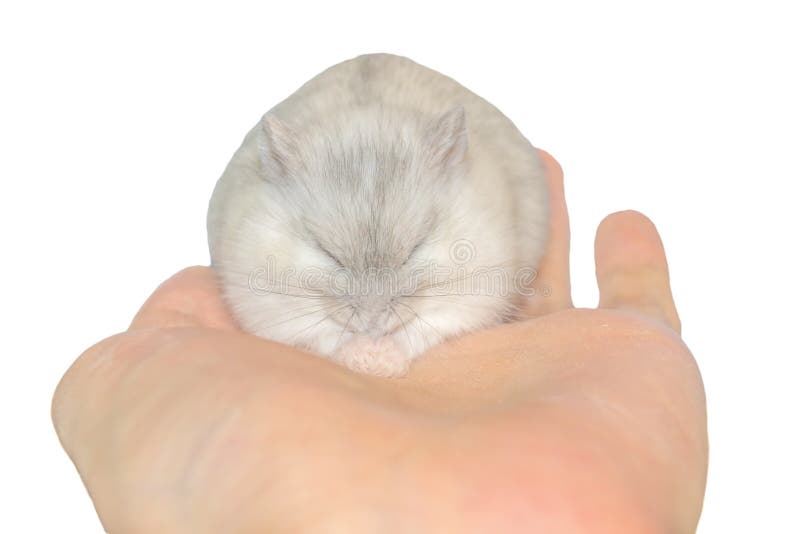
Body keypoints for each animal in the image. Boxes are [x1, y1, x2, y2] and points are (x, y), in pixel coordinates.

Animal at [207, 53, 549, 377]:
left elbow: (423, 327)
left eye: (415, 249)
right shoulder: (267, 305)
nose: (373, 325)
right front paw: (364, 357)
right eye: (327, 253)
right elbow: (326, 334)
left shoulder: (475, 293)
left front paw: (382, 360)